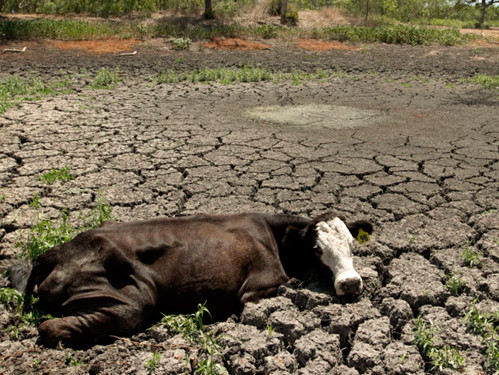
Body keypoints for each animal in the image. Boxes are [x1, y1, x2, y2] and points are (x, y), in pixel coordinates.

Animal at [9, 213, 374, 348]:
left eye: (352, 244)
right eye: (316, 249)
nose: (351, 283)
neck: (274, 234)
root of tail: (51, 254)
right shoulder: (257, 286)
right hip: (131, 298)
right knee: (50, 326)